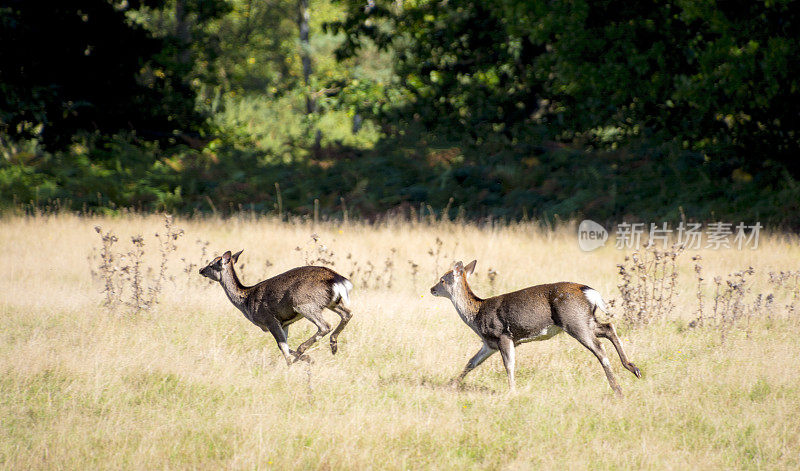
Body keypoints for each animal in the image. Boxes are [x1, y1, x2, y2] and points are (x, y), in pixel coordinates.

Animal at [200, 251, 354, 366]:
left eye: (212, 264)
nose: (201, 270)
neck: (246, 301)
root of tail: (338, 279)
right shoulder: (284, 323)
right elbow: (285, 344)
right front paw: (307, 359)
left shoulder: (270, 320)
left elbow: (282, 346)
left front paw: (292, 364)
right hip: (332, 302)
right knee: (348, 313)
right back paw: (333, 346)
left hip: (304, 304)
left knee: (325, 325)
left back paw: (302, 350)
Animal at [432, 260, 644, 396]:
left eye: (442, 279)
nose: (432, 289)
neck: (476, 315)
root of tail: (589, 292)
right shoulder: (489, 343)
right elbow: (471, 362)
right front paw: (452, 385)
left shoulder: (503, 335)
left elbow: (509, 365)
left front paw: (512, 391)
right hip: (586, 319)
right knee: (609, 327)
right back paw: (633, 368)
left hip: (574, 321)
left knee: (599, 348)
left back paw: (618, 389)